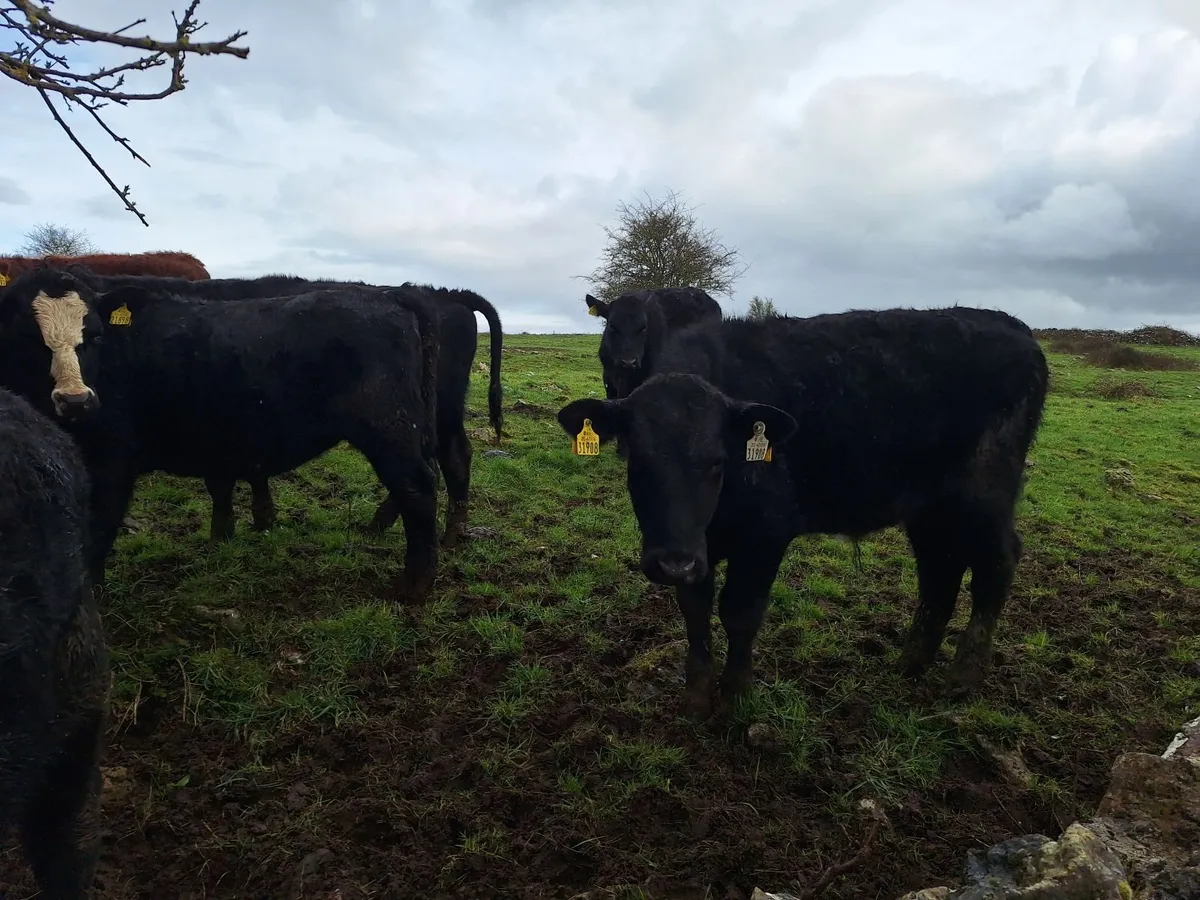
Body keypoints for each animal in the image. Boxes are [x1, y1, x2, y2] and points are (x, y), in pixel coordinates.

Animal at [0, 269, 441, 603]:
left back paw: (416, 586)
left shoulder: (111, 463)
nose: (75, 400)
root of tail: (392, 295)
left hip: (389, 429)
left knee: (418, 489)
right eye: (26, 335)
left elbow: (96, 534)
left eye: (92, 335)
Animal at [57, 268, 504, 549]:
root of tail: (445, 294)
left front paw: (234, 529)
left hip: (426, 412)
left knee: (447, 460)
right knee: (445, 460)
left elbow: (225, 479)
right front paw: (257, 520)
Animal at [557, 307, 1048, 719]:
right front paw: (696, 696)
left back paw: (965, 676)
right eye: (637, 461)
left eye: (717, 461)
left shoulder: (766, 535)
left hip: (985, 494)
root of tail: (1015, 327)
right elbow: (695, 609)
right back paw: (910, 663)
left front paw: (736, 696)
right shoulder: (696, 548)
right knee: (939, 571)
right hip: (930, 506)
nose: (672, 563)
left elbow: (740, 611)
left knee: (995, 564)